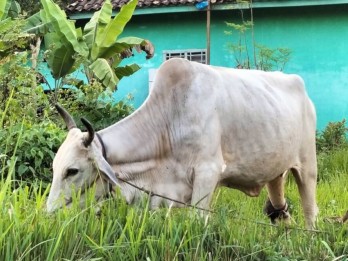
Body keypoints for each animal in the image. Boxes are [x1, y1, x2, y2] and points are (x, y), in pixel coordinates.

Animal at [47, 57, 318, 228]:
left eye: (72, 171)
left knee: (310, 213)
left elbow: (197, 221)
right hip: (275, 172)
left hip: (307, 166)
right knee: (279, 209)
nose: (49, 213)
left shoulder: (208, 173)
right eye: (54, 168)